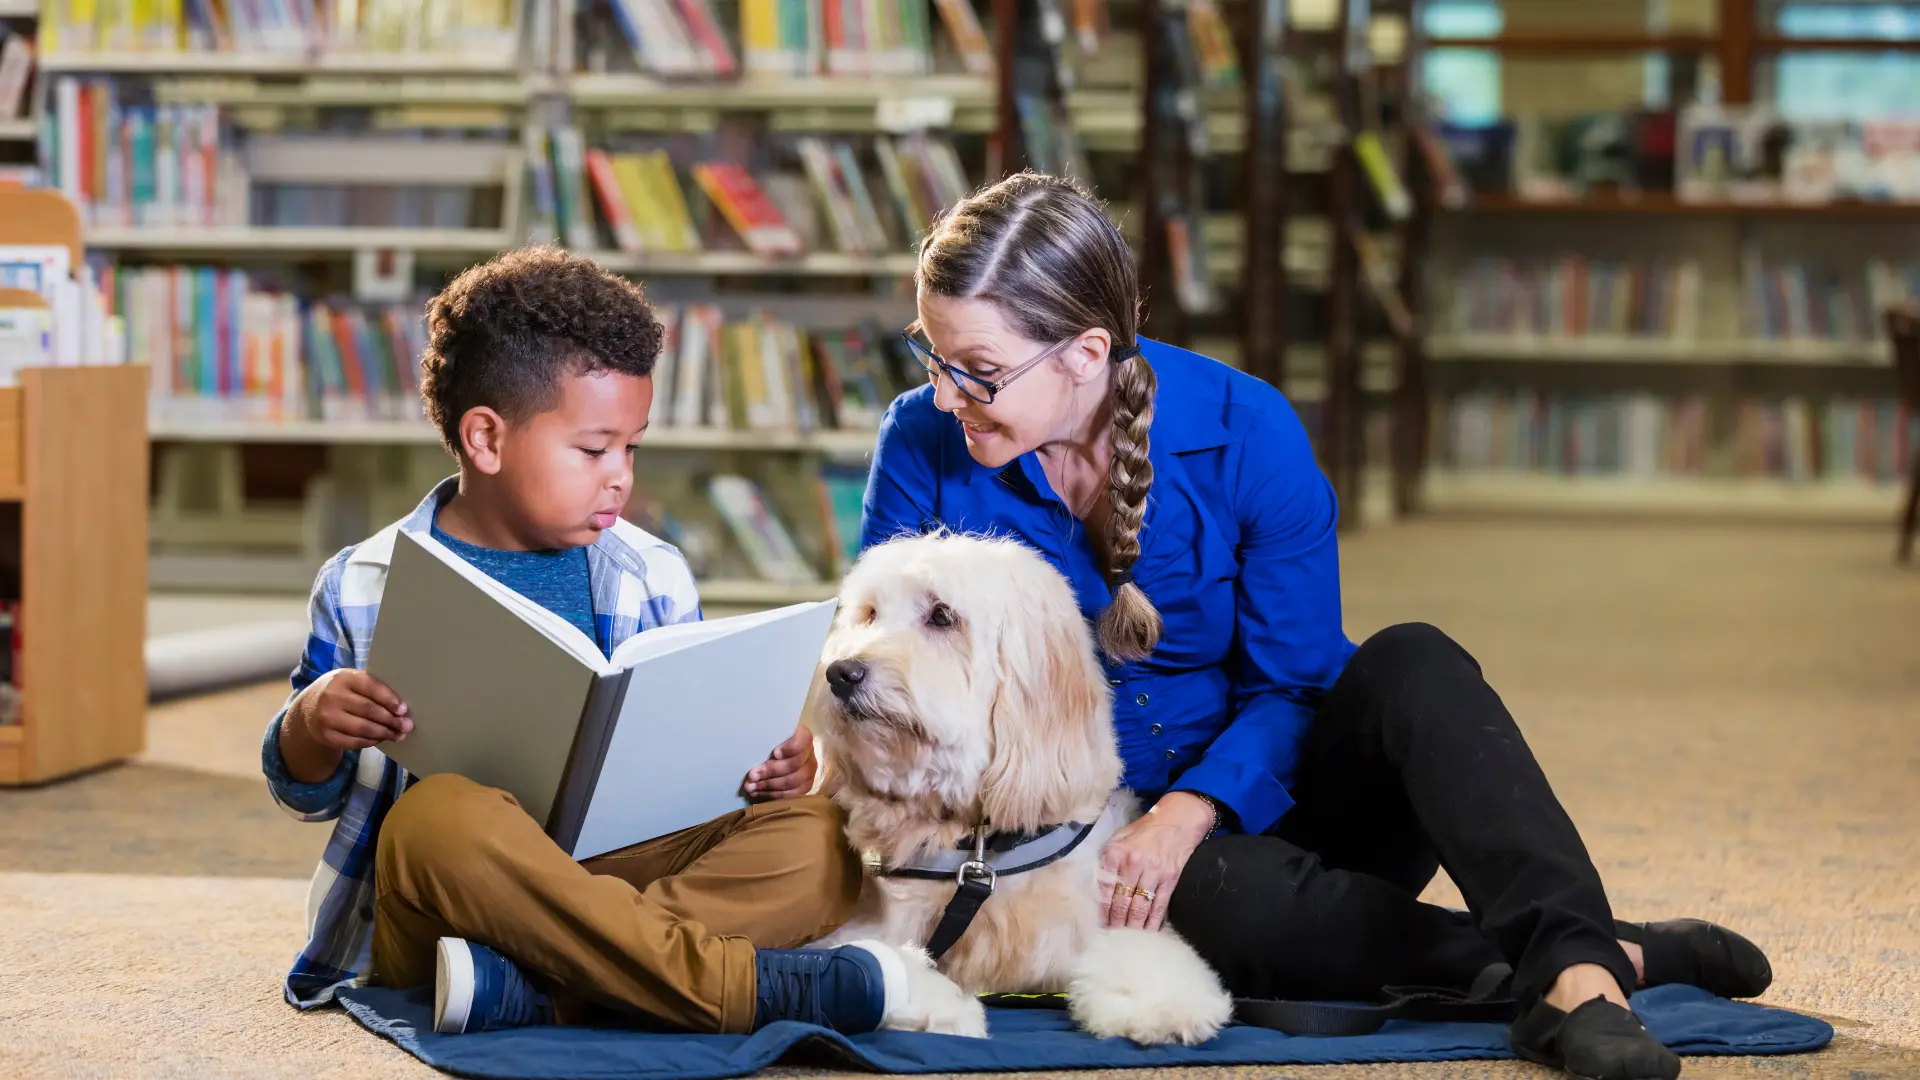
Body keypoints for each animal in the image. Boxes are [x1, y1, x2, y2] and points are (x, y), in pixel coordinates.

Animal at [806, 530, 1228, 1045]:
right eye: (869, 614)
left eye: (942, 615)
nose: (840, 673)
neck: (978, 846)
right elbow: (861, 957)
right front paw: (940, 1007)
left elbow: (1139, 954)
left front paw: (1166, 1005)